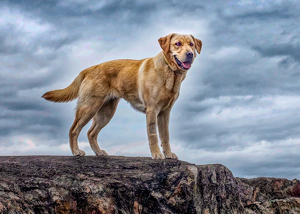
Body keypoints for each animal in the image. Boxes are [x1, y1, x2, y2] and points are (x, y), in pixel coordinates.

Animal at [42, 33, 202, 159]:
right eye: (177, 44)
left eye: (191, 44)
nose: (190, 54)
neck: (171, 73)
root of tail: (88, 68)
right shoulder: (152, 110)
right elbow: (153, 135)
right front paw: (157, 154)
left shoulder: (165, 112)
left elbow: (165, 136)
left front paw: (168, 154)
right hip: (89, 107)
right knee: (74, 130)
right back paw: (76, 151)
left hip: (105, 112)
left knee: (91, 133)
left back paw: (99, 152)